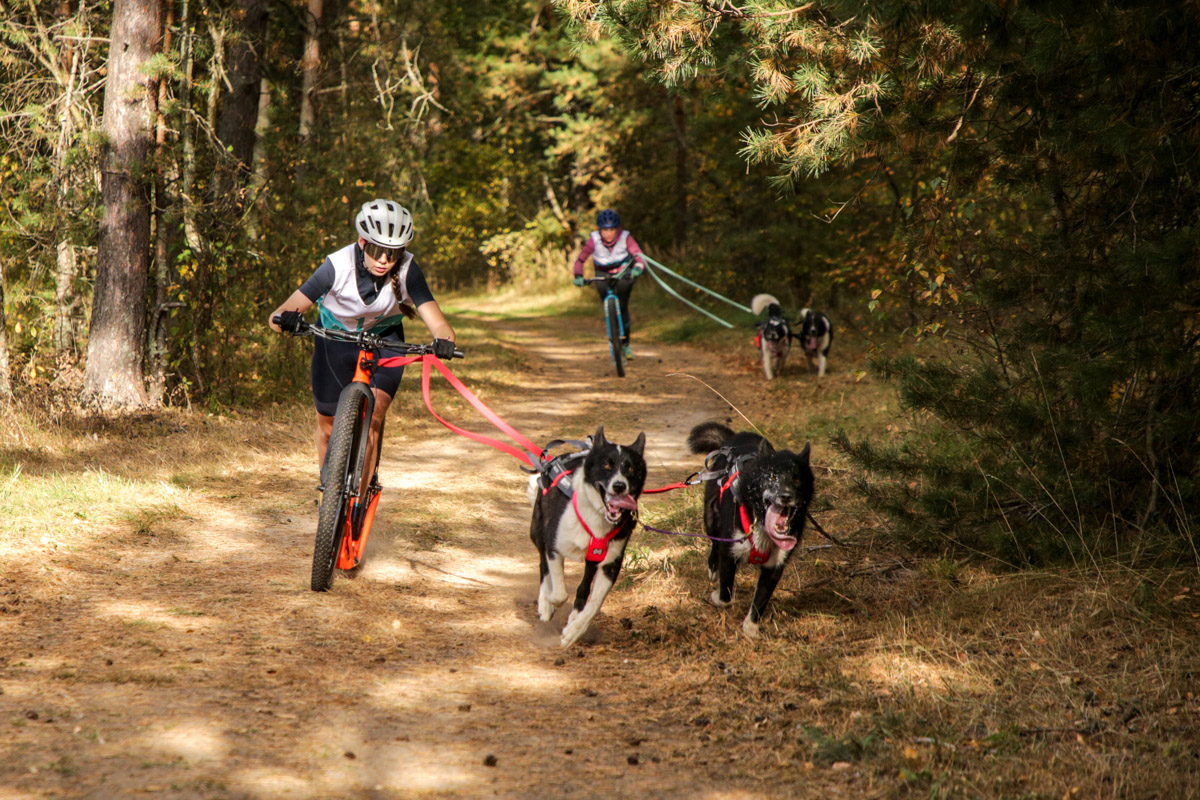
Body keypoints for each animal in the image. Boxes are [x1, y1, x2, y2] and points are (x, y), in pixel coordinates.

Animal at [528, 429, 648, 647]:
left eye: (630, 468)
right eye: (607, 466)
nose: (619, 486)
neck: (597, 517)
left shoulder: (610, 564)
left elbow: (594, 603)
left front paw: (573, 630)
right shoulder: (554, 547)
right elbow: (559, 593)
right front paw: (549, 601)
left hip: (593, 560)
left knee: (584, 587)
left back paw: (574, 616)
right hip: (538, 531)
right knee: (543, 566)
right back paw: (544, 603)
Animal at [686, 424, 816, 638]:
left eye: (796, 478)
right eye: (772, 476)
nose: (786, 496)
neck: (760, 523)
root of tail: (734, 439)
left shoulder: (775, 567)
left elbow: (761, 600)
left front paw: (751, 627)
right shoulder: (729, 553)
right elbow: (726, 595)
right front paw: (717, 596)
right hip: (711, 518)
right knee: (714, 542)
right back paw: (712, 567)